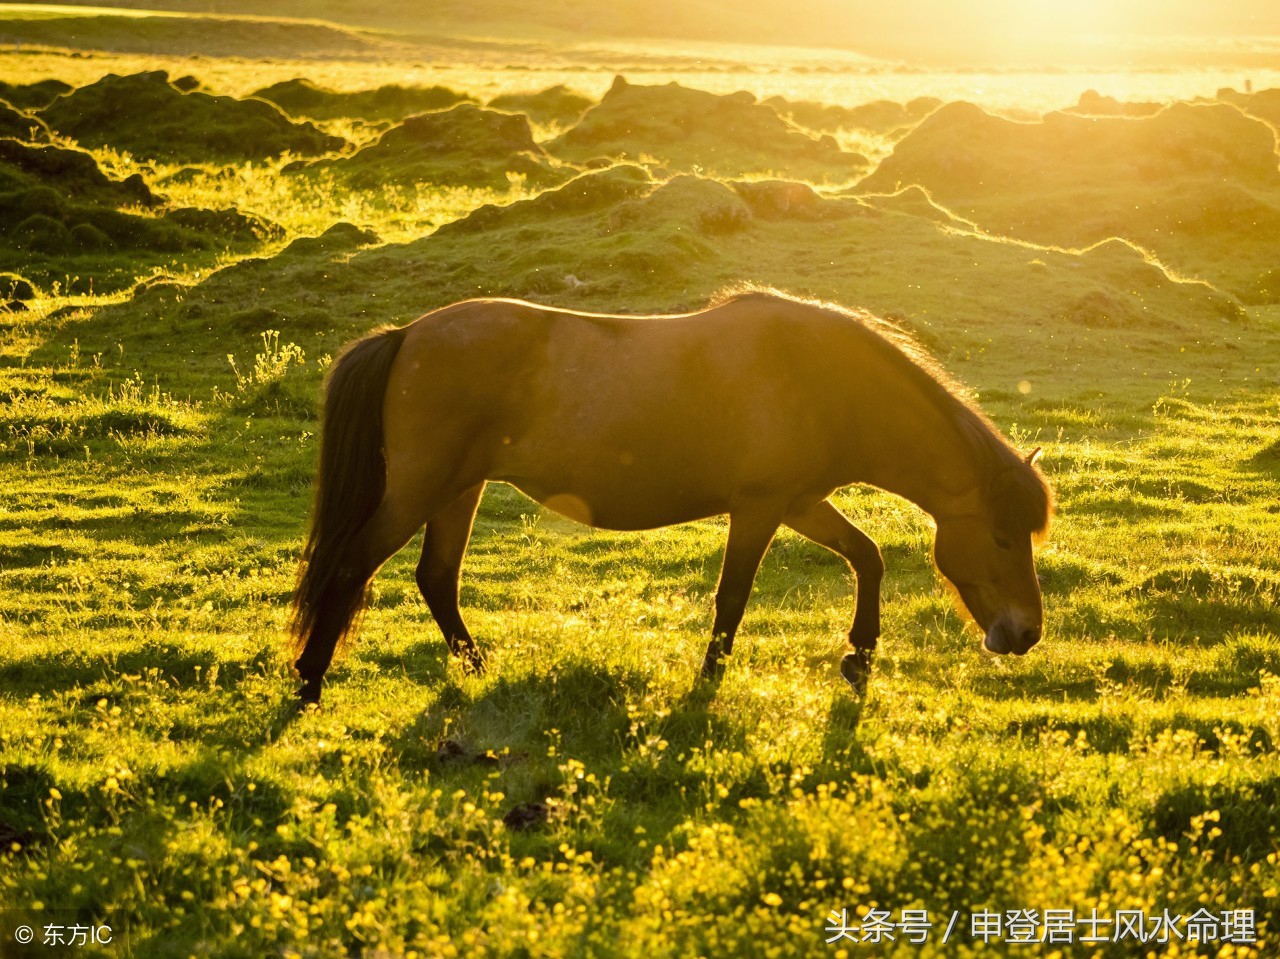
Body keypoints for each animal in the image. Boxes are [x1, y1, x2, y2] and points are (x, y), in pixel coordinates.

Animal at [290, 288, 1049, 701]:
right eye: (1003, 536)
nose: (1026, 634)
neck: (821, 379)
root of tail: (408, 334)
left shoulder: (800, 502)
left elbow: (867, 556)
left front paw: (858, 659)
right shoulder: (761, 507)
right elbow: (733, 597)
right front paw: (709, 680)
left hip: (458, 488)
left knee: (437, 577)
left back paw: (478, 667)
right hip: (421, 488)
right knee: (353, 565)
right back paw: (309, 681)